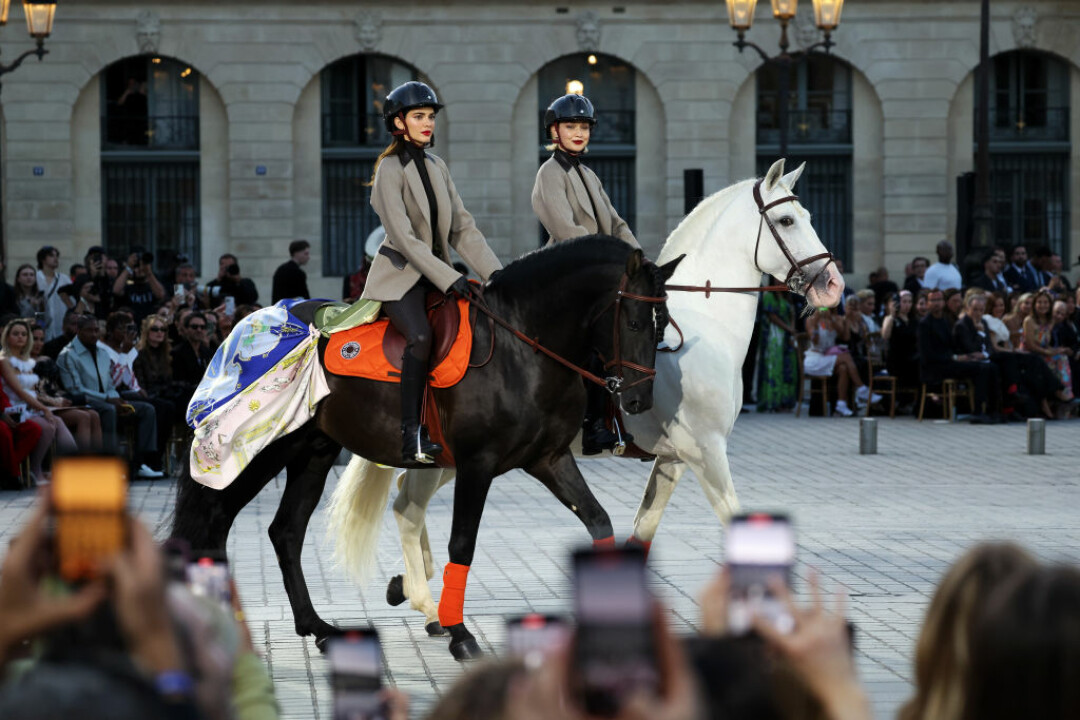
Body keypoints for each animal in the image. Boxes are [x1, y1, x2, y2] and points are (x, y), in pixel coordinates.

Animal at [172, 236, 678, 660]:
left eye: (662, 329)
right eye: (634, 322)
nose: (638, 401)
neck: (521, 348)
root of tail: (251, 323)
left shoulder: (548, 459)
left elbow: (598, 521)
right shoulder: (477, 464)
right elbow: (463, 543)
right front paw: (459, 633)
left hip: (313, 451)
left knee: (286, 532)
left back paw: (318, 627)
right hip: (261, 451)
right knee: (216, 521)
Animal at [324, 158, 846, 634]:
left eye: (809, 215)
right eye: (787, 220)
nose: (832, 284)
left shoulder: (675, 458)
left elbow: (642, 529)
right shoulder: (705, 451)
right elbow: (734, 519)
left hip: (453, 458)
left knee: (406, 504)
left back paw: (417, 596)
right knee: (407, 506)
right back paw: (427, 603)